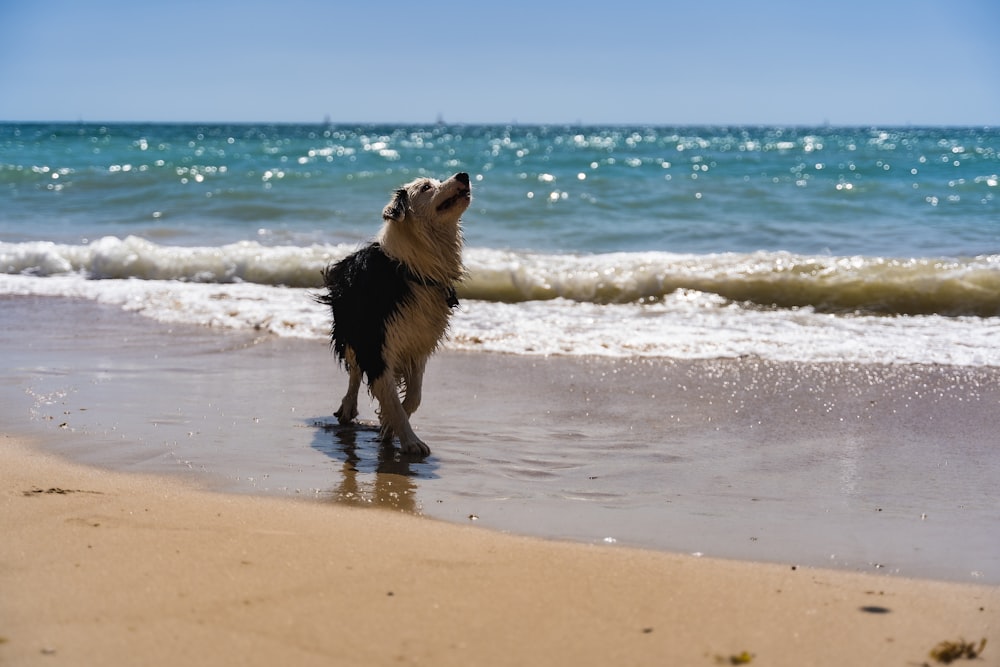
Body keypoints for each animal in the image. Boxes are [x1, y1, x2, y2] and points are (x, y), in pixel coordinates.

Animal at [320, 170, 472, 456]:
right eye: (425, 187)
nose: (464, 175)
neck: (414, 267)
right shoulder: (376, 342)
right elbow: (390, 396)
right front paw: (411, 442)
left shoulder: (418, 341)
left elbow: (412, 397)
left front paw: (388, 426)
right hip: (351, 330)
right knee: (354, 372)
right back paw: (348, 407)